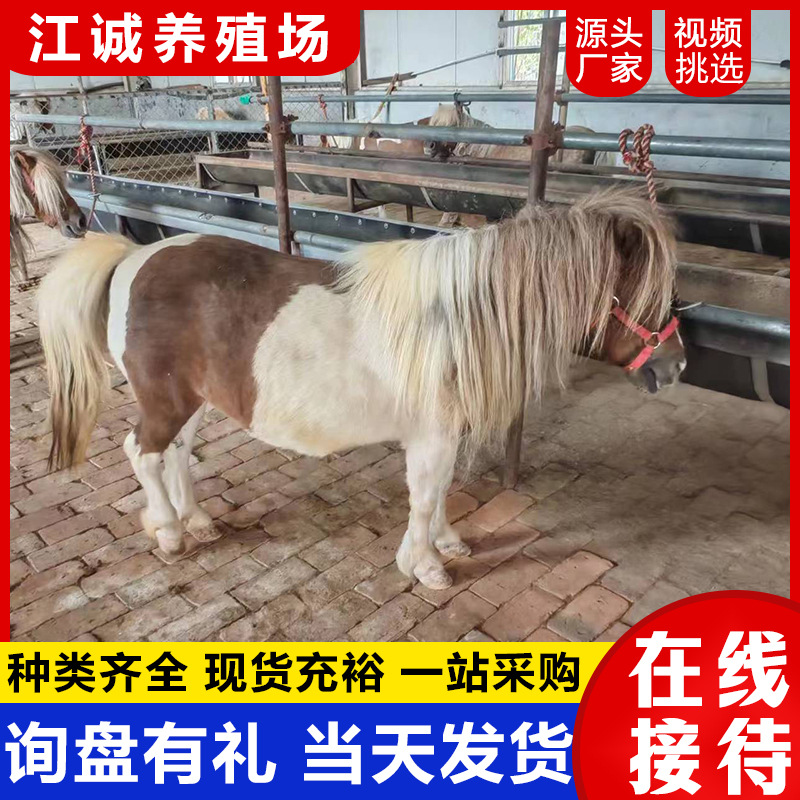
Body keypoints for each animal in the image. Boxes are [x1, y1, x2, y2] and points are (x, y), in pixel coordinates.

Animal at [38, 189, 685, 591]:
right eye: (640, 290)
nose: (675, 366)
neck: (456, 316)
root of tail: (134, 257)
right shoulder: (432, 436)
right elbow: (424, 497)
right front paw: (425, 567)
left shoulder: (440, 435)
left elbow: (438, 494)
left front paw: (445, 544)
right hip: (165, 401)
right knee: (142, 453)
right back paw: (170, 532)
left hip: (190, 401)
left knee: (175, 455)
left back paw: (195, 520)